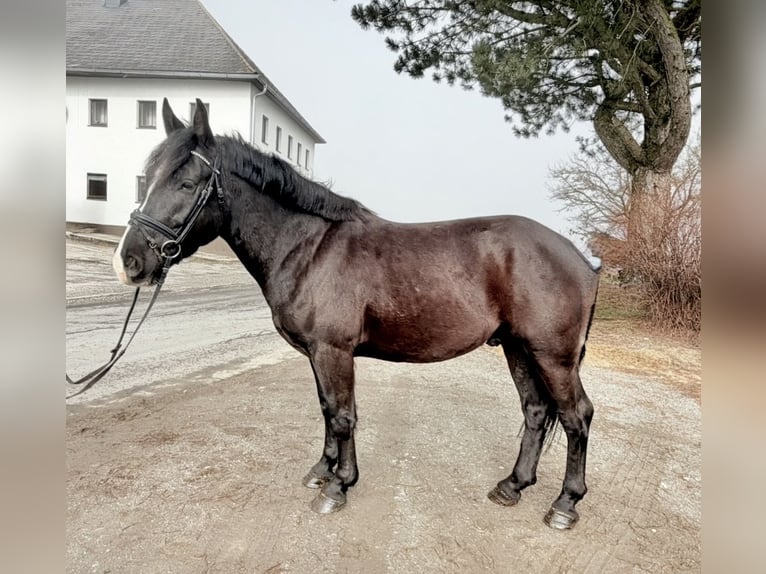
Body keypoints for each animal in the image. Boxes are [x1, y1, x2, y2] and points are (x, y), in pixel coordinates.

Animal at [113, 98, 600, 530]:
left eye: (186, 183)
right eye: (147, 177)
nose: (130, 261)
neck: (309, 248)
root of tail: (583, 260)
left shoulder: (334, 351)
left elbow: (344, 415)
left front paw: (339, 487)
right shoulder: (317, 353)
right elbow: (327, 410)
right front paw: (322, 471)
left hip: (553, 356)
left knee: (577, 416)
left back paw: (565, 504)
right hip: (519, 348)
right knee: (535, 412)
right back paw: (512, 485)